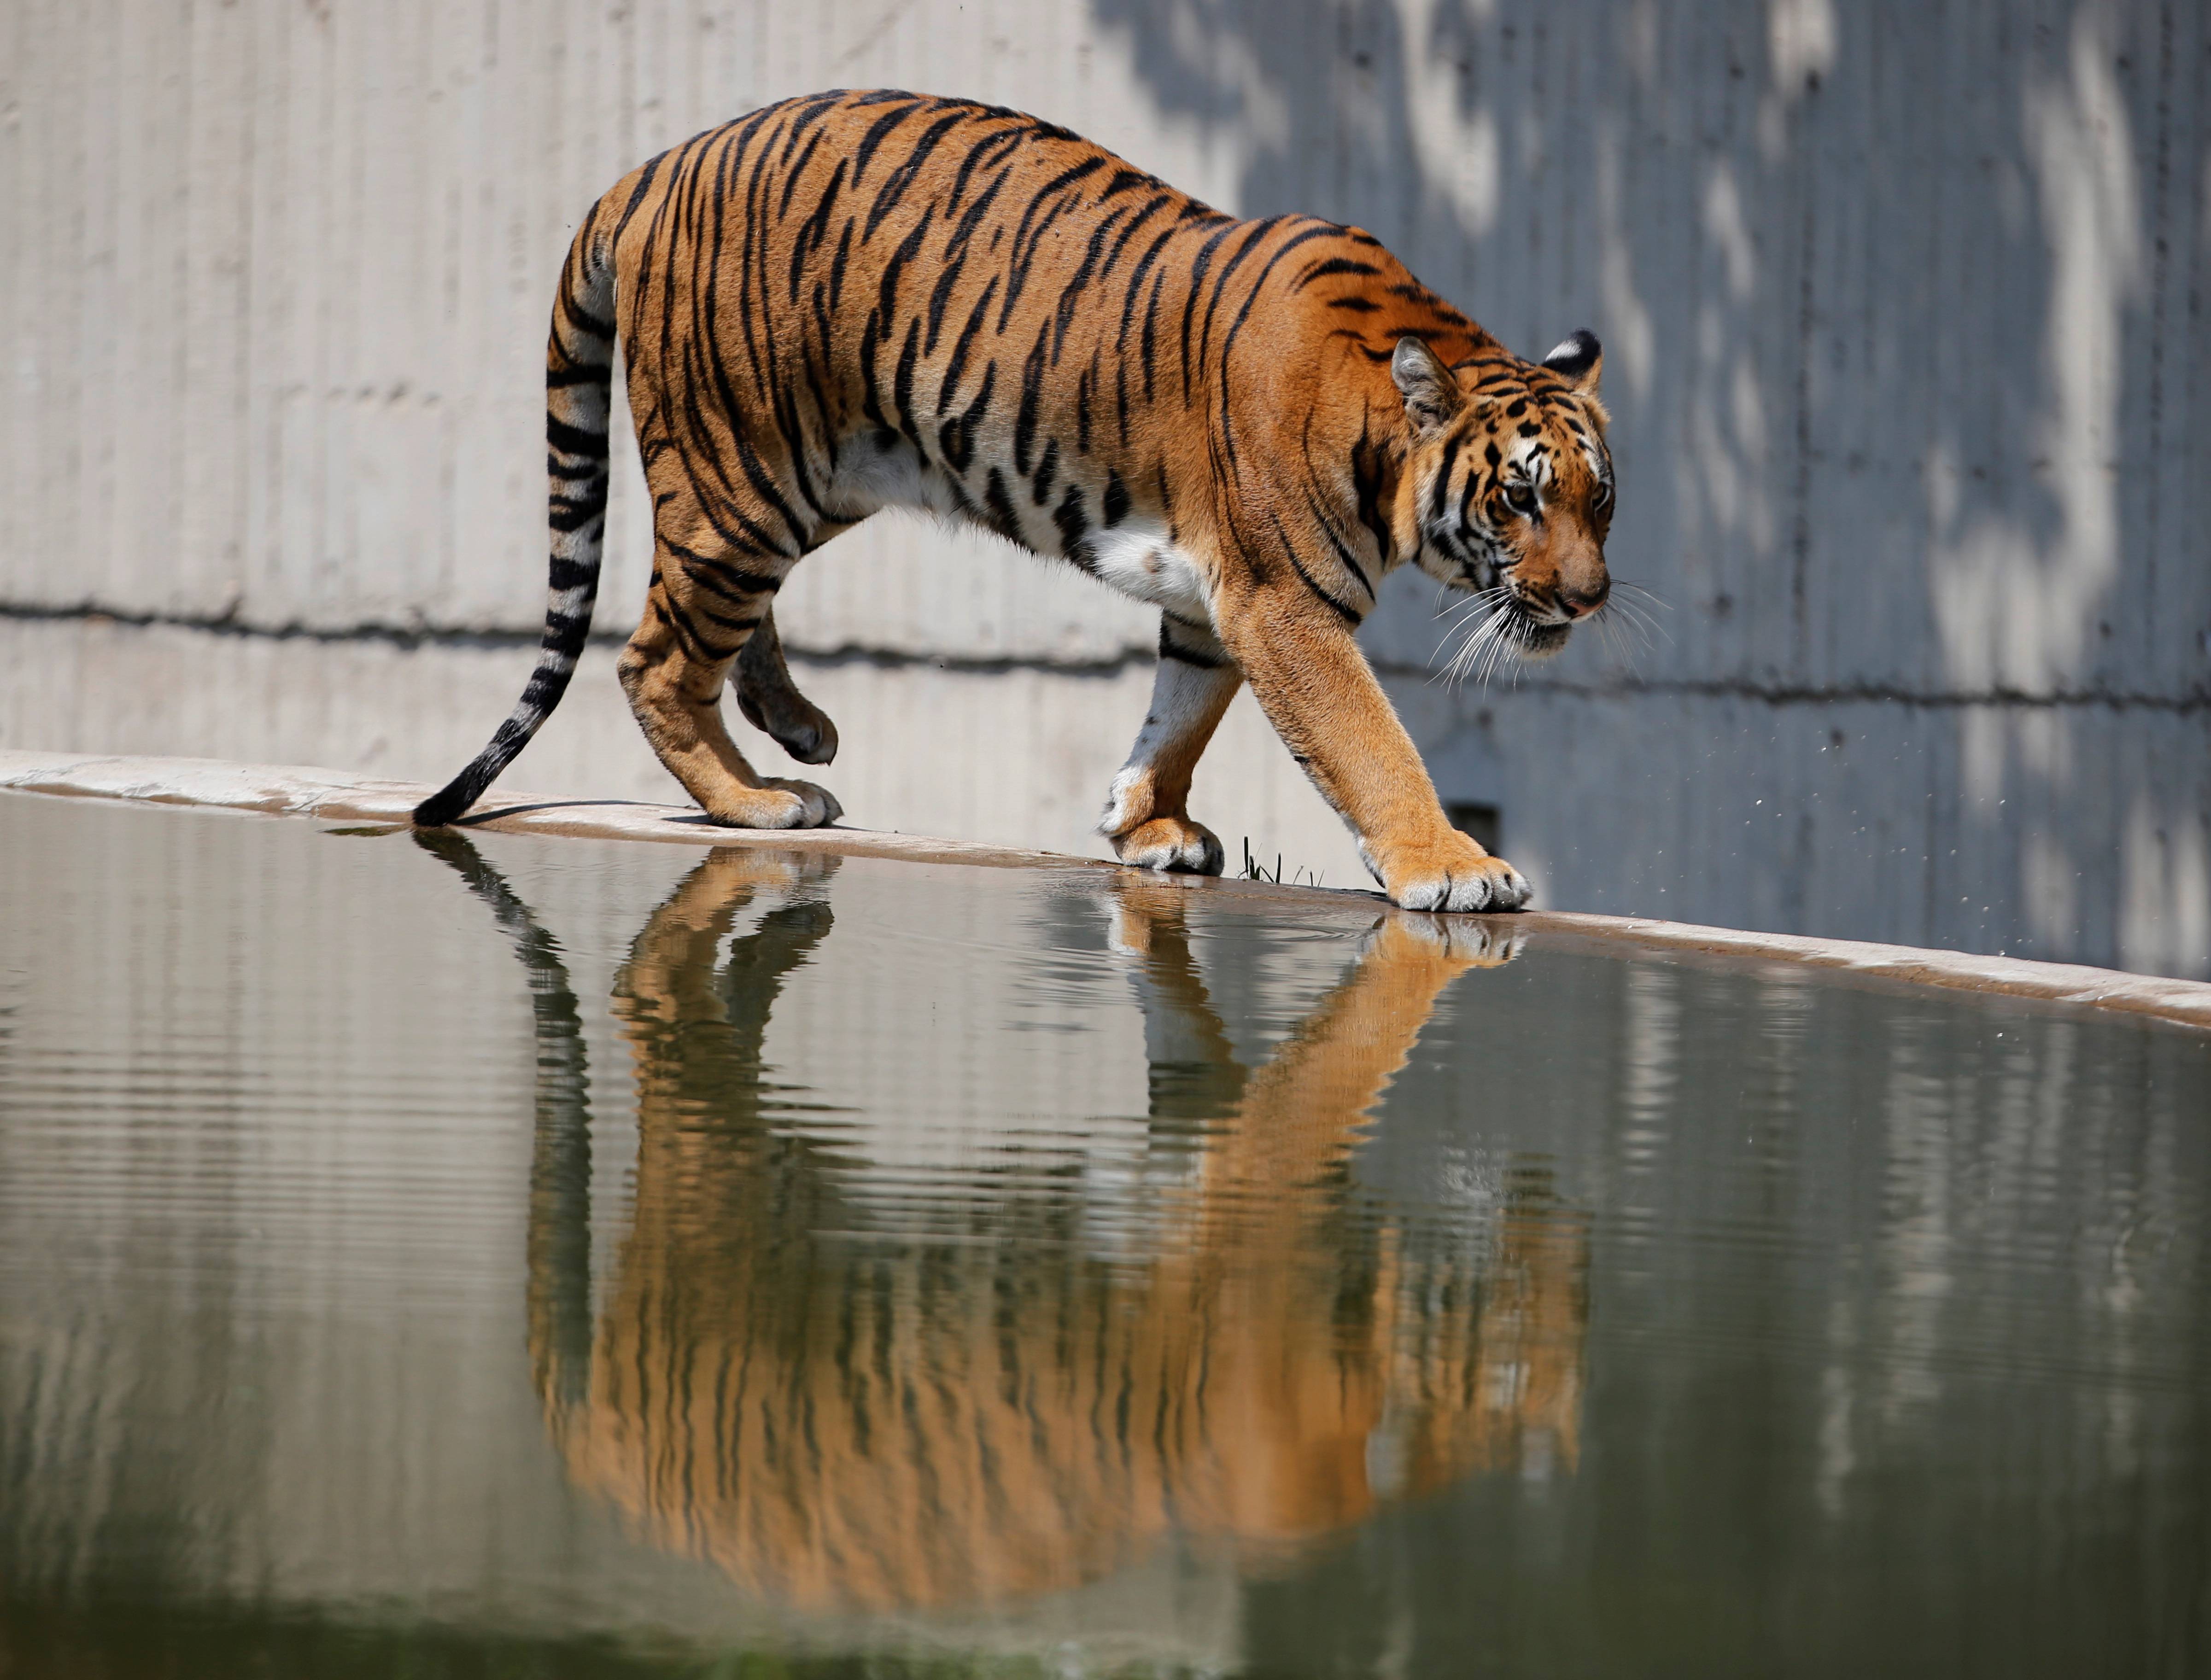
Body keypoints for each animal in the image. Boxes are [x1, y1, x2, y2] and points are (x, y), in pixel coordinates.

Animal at [407, 85, 1618, 910]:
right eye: (1517, 501)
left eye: (1598, 503)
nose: (1587, 600)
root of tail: (657, 164)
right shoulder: (1287, 604)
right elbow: (1370, 743)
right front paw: (1452, 868)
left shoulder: (1214, 599)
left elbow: (1180, 713)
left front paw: (1145, 824)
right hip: (740, 472)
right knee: (655, 656)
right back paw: (754, 799)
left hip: (807, 478)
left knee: (712, 620)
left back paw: (797, 729)